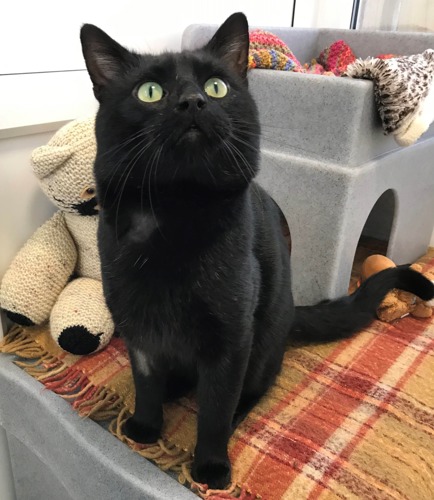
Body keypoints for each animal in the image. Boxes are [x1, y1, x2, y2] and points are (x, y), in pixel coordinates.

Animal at [80, 12, 434, 492]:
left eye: (216, 87)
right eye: (149, 92)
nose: (192, 102)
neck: (173, 217)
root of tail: (292, 311)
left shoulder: (231, 337)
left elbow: (214, 409)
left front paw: (211, 466)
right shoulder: (138, 324)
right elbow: (146, 381)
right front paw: (144, 428)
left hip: (262, 339)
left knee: (251, 390)